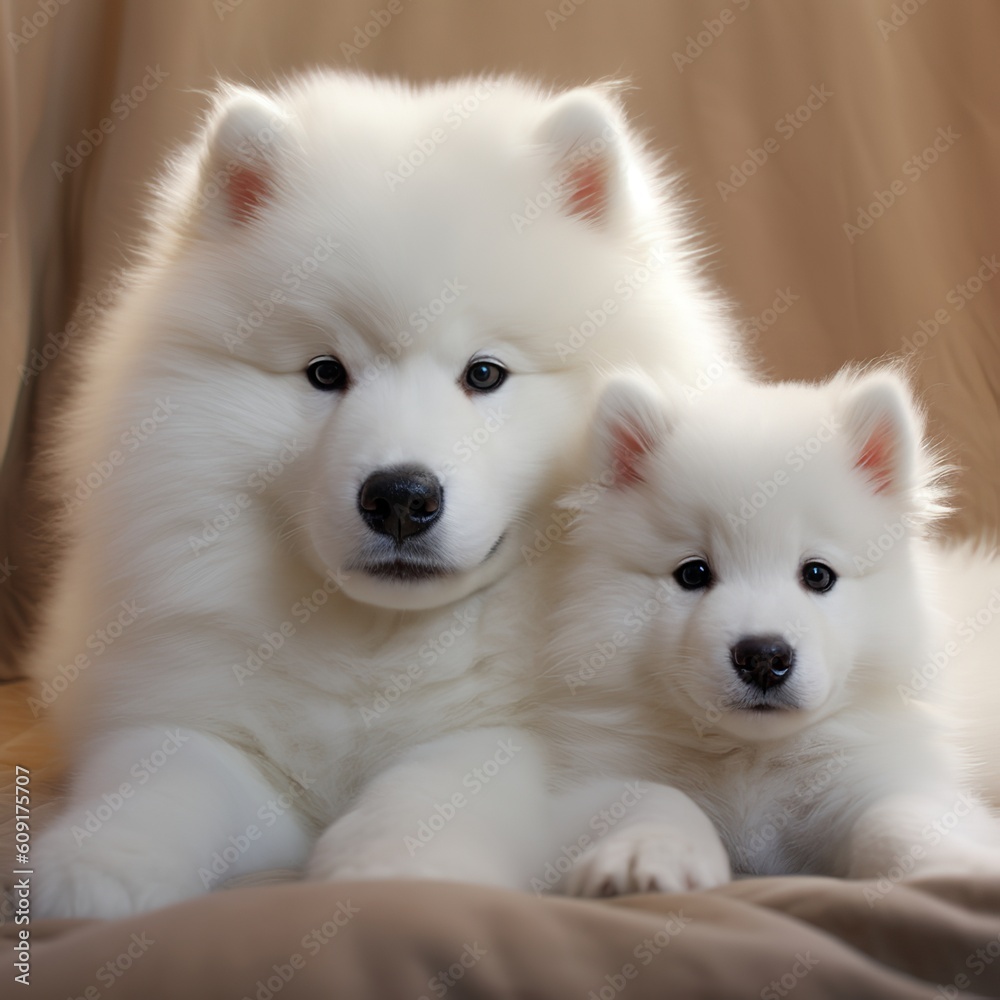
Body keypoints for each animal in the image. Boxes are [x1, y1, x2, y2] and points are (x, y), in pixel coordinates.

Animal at [29, 72, 744, 916]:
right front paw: (88, 870)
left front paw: (391, 877)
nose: (400, 496)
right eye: (325, 372)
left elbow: (438, 783)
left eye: (484, 373)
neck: (381, 646)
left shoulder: (530, 740)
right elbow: (166, 776)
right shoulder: (185, 708)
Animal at [544, 366, 1000, 884]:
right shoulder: (597, 779)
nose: (763, 657)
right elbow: (658, 796)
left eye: (818, 574)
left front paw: (960, 865)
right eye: (693, 573)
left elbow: (895, 817)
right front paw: (649, 852)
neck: (750, 756)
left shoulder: (884, 771)